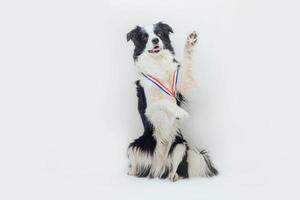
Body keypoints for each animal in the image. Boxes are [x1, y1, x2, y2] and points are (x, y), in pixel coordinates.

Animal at [125, 21, 217, 181]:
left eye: (159, 33)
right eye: (144, 37)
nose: (155, 40)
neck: (157, 63)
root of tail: (158, 168)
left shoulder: (180, 85)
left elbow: (186, 66)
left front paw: (190, 41)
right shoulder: (149, 108)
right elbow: (164, 102)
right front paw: (180, 112)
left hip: (180, 145)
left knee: (174, 167)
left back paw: (174, 176)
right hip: (136, 145)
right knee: (137, 162)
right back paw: (133, 172)